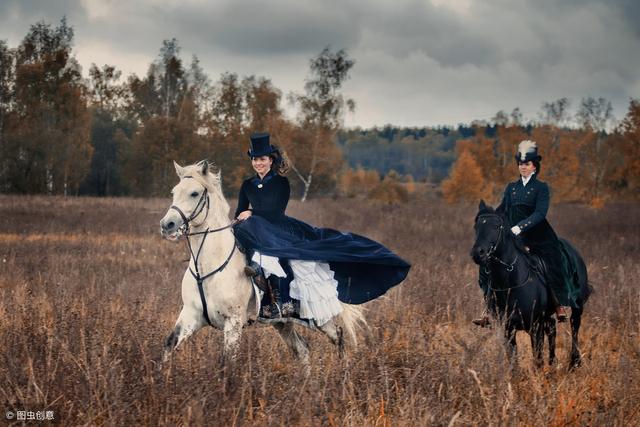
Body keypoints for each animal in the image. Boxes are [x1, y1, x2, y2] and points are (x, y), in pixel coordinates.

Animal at [159, 161, 364, 368]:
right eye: (174, 191)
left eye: (194, 193)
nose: (167, 225)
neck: (207, 268)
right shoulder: (191, 315)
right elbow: (169, 344)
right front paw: (162, 375)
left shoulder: (233, 324)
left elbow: (226, 363)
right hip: (283, 322)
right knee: (302, 349)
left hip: (320, 316)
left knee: (338, 335)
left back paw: (343, 372)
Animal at [468, 202, 592, 370]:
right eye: (477, 227)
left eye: (496, 226)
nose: (477, 253)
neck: (509, 284)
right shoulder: (508, 329)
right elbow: (513, 361)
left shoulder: (535, 326)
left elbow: (537, 359)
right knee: (552, 328)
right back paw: (553, 363)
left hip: (577, 305)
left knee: (574, 326)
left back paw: (574, 362)